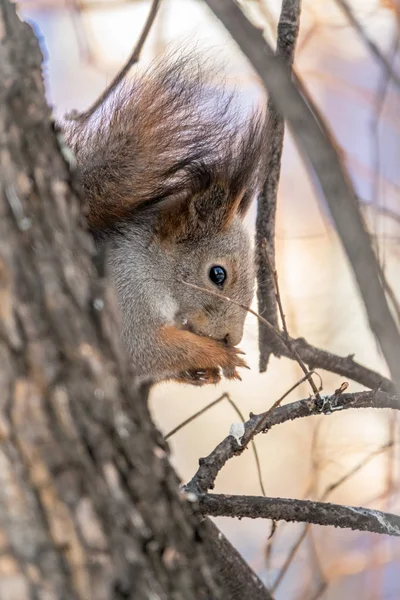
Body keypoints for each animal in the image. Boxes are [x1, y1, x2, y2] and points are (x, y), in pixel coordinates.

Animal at [65, 55, 266, 384]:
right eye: (217, 274)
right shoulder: (127, 295)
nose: (231, 337)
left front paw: (203, 372)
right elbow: (146, 350)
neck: (152, 265)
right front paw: (220, 355)